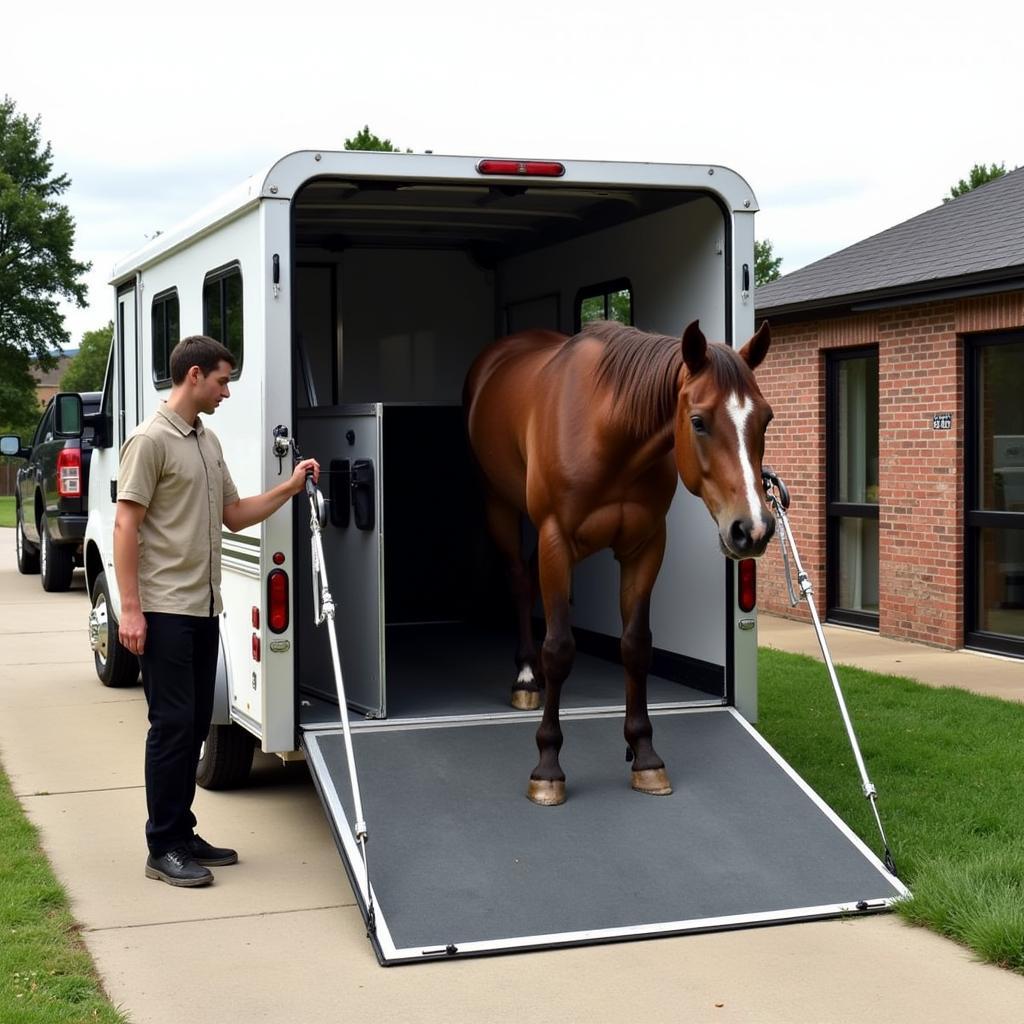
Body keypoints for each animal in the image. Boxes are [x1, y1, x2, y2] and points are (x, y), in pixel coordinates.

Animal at [466, 323, 774, 802]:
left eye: (766, 419)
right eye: (698, 421)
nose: (753, 529)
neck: (611, 434)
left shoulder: (645, 547)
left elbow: (635, 646)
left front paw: (645, 755)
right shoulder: (555, 540)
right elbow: (559, 648)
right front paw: (548, 766)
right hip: (499, 504)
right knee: (518, 581)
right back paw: (526, 676)